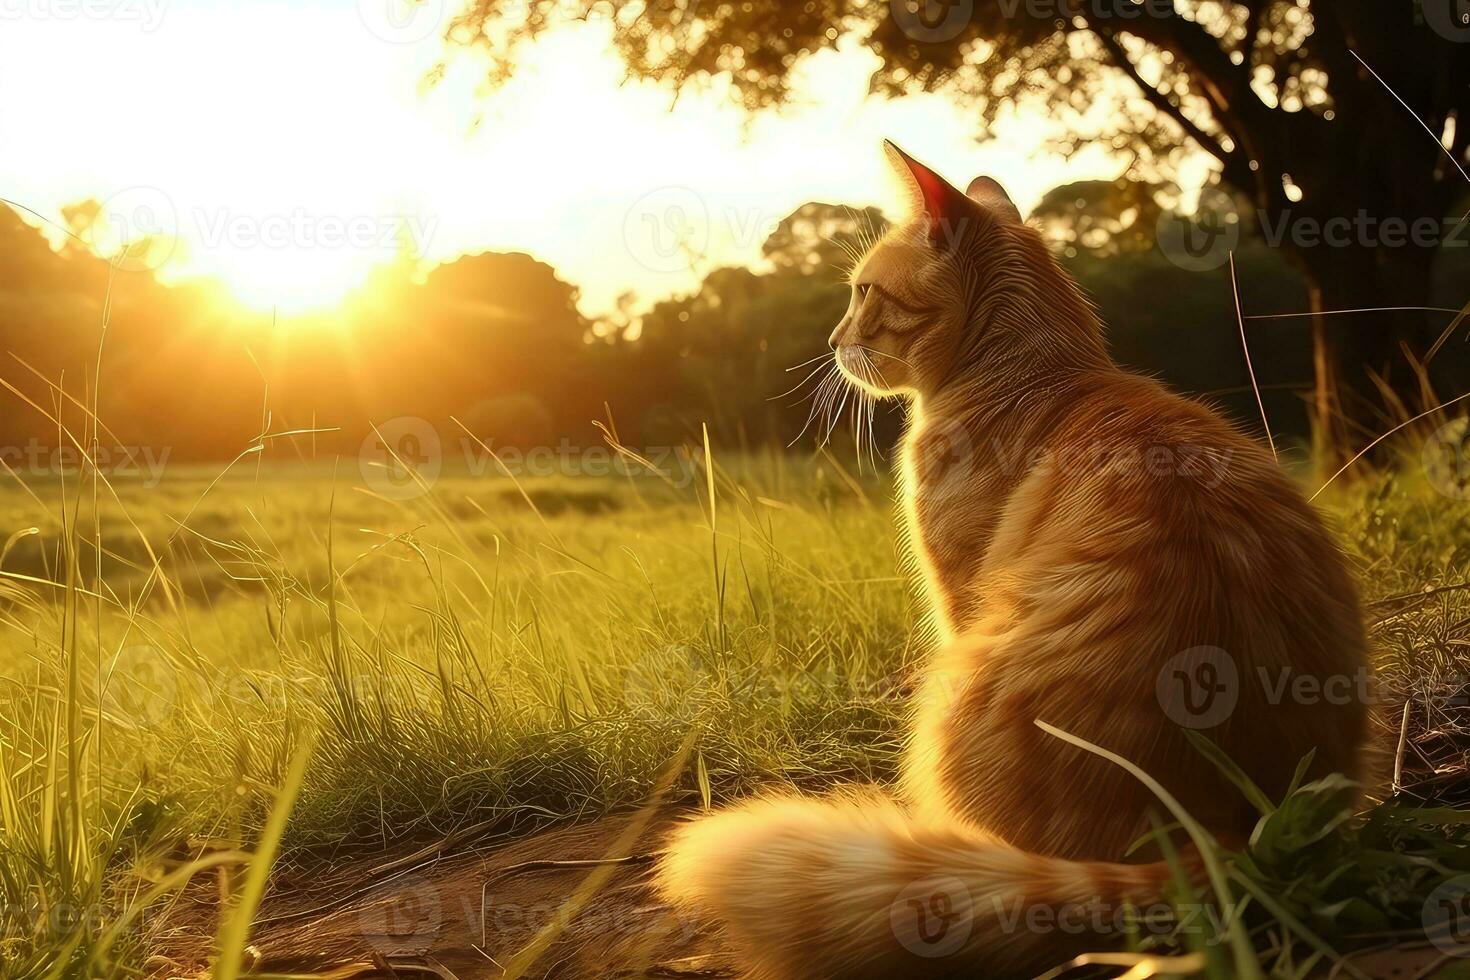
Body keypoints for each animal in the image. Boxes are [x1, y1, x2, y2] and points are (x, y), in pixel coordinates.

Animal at [655, 145, 1364, 980]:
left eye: (864, 291)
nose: (832, 339)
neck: (1032, 377)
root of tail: (1231, 829)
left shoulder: (954, 596)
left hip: (952, 688)